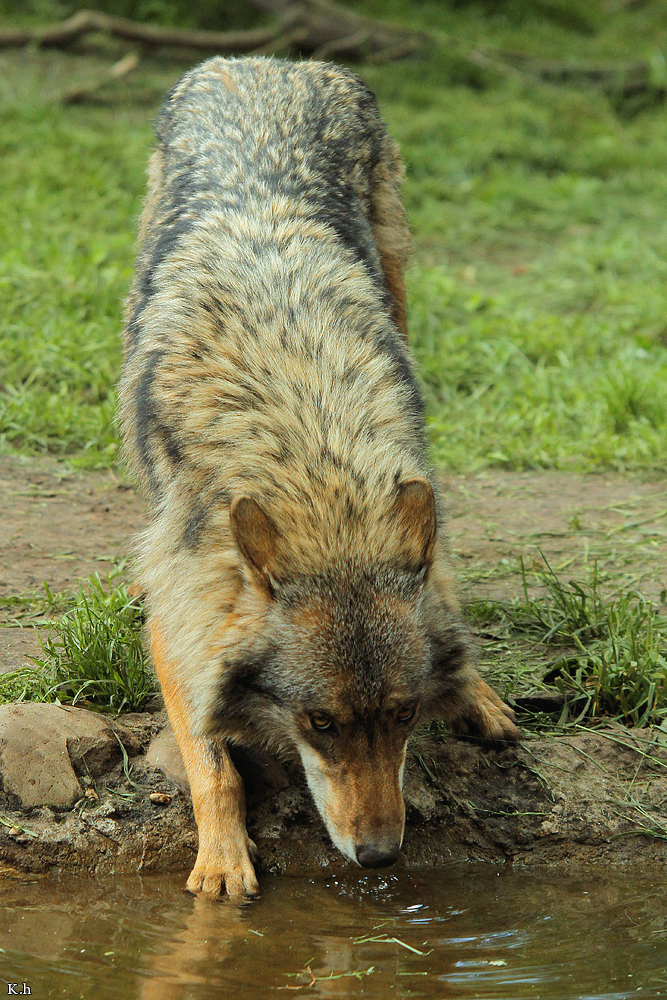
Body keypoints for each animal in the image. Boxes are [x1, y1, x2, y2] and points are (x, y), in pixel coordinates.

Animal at [118, 55, 519, 898]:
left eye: (401, 716)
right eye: (320, 723)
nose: (380, 857)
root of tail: (267, 62)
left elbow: (445, 592)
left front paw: (472, 690)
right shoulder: (186, 624)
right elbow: (212, 762)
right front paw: (222, 861)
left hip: (398, 281)